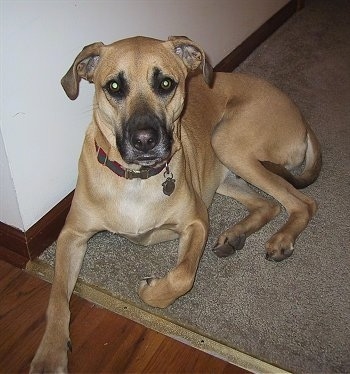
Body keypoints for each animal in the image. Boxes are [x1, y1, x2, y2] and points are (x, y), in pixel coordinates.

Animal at [31, 35, 322, 374]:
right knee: (268, 204)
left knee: (302, 202)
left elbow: (182, 276)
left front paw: (151, 290)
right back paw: (235, 235)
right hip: (224, 171)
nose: (145, 139)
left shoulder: (197, 222)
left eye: (166, 83)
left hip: (228, 142)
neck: (136, 179)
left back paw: (281, 239)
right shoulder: (72, 235)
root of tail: (301, 117)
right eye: (114, 86)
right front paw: (50, 354)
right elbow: (56, 299)